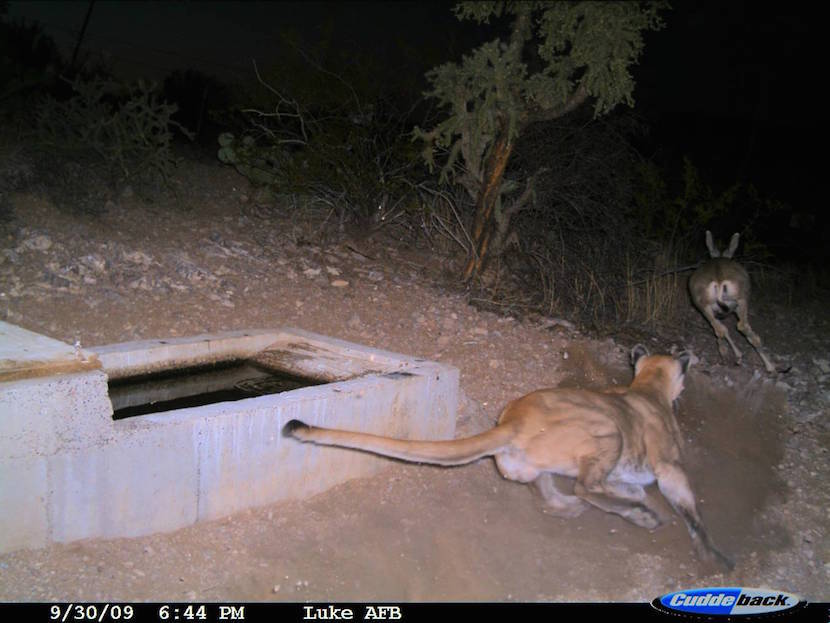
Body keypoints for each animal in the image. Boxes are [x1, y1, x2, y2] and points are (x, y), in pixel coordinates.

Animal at [284, 346, 736, 572]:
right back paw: (637, 514)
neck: (647, 388)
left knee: (557, 494)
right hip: (606, 429)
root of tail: (513, 419)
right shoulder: (670, 468)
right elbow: (692, 511)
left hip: (528, 468)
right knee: (586, 487)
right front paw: (715, 556)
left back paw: (590, 508)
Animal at [688, 232, 780, 372]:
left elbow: (723, 329)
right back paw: (770, 365)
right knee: (742, 326)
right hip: (741, 299)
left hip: (703, 306)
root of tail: (719, 281)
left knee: (720, 329)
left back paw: (726, 355)